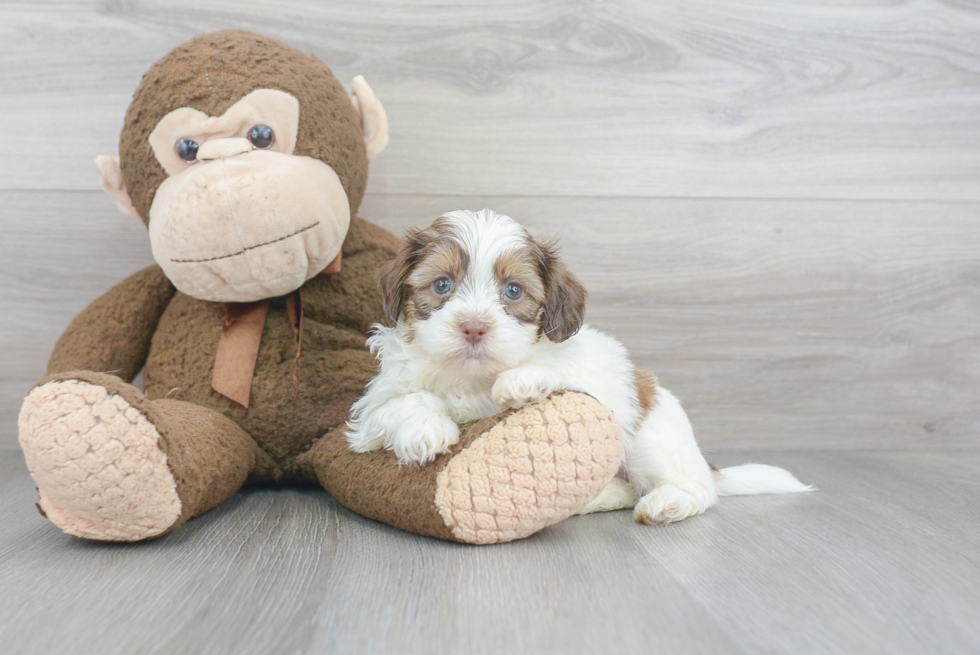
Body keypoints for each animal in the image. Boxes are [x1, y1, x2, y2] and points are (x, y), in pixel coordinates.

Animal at [346, 210, 812, 528]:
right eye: (442, 284)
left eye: (513, 291)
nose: (474, 327)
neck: (472, 376)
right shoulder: (370, 414)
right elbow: (406, 401)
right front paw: (425, 431)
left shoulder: (596, 384)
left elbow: (563, 374)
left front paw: (521, 381)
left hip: (651, 436)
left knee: (698, 490)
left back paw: (669, 502)